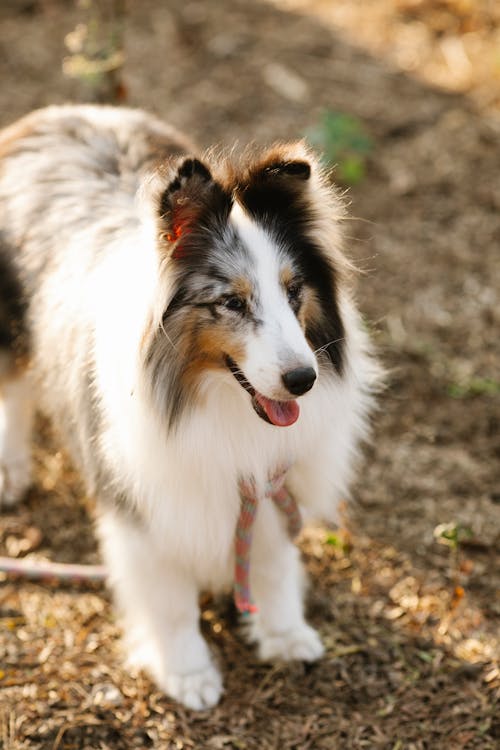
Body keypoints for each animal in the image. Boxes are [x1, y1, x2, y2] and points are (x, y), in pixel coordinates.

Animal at [0, 104, 376, 712]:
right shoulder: (140, 505)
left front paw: (283, 634)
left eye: (294, 290)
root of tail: (56, 113)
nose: (303, 381)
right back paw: (10, 470)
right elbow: (170, 597)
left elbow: (271, 564)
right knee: (13, 387)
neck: (214, 402)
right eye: (231, 302)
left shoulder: (267, 483)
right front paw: (188, 673)